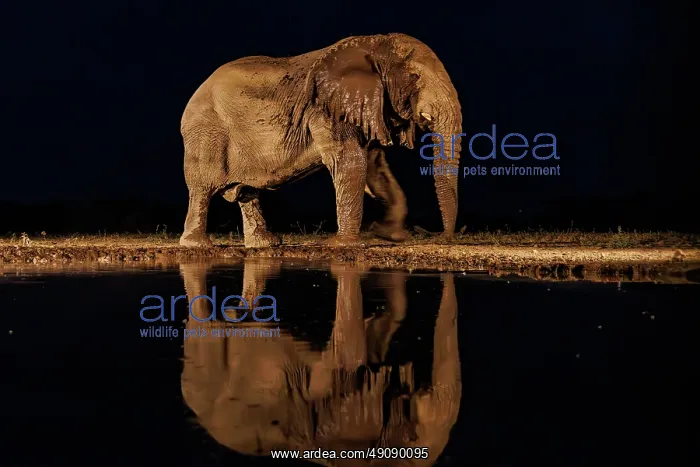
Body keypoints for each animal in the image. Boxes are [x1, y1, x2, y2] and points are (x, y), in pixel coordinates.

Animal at [179, 33, 462, 248]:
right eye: (415, 77)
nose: (440, 237)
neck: (375, 44)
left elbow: (374, 166)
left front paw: (389, 234)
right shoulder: (326, 109)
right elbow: (350, 162)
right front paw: (345, 244)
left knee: (247, 191)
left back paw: (265, 244)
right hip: (205, 133)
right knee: (202, 187)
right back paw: (197, 245)